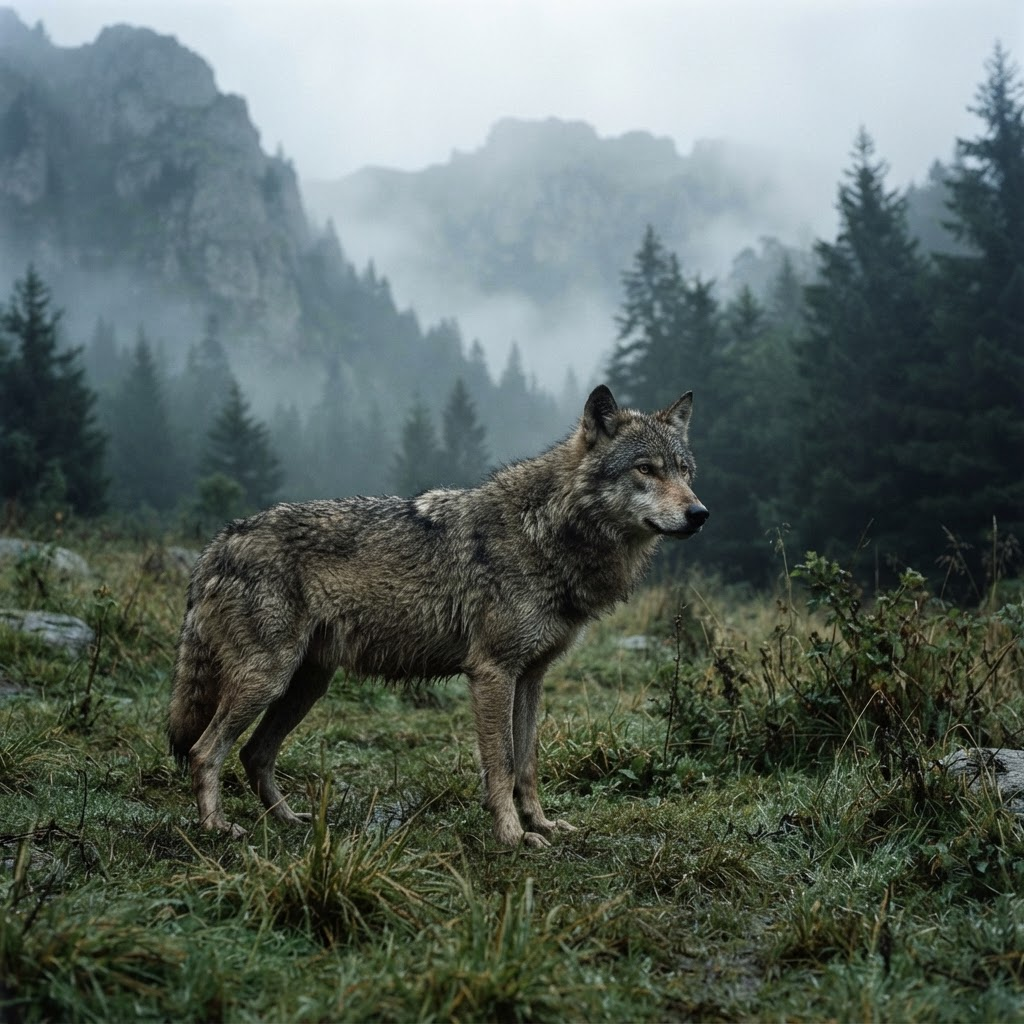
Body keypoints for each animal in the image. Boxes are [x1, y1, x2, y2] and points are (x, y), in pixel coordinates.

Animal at [167, 384, 708, 847]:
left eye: (684, 472)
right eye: (645, 469)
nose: (700, 514)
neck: (546, 533)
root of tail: (218, 543)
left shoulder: (531, 677)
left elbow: (528, 763)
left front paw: (542, 824)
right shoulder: (492, 672)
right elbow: (502, 763)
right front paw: (511, 836)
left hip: (305, 686)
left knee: (253, 754)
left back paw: (288, 820)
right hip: (267, 680)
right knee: (204, 751)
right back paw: (217, 828)